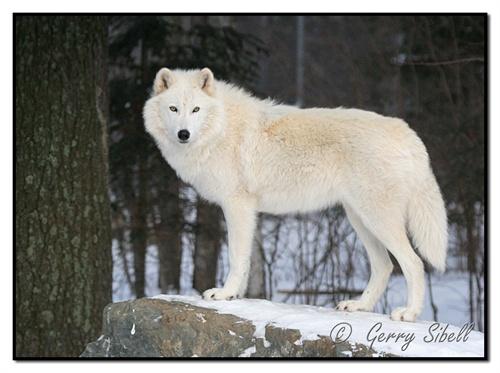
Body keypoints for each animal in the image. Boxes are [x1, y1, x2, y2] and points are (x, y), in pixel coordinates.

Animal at [143, 66, 448, 320]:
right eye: (173, 108)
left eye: (195, 109)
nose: (183, 134)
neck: (221, 128)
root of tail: (407, 131)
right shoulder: (245, 211)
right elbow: (245, 261)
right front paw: (236, 296)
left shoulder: (237, 205)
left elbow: (236, 257)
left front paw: (225, 293)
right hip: (360, 219)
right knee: (384, 266)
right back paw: (359, 306)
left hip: (377, 219)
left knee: (414, 263)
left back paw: (408, 313)